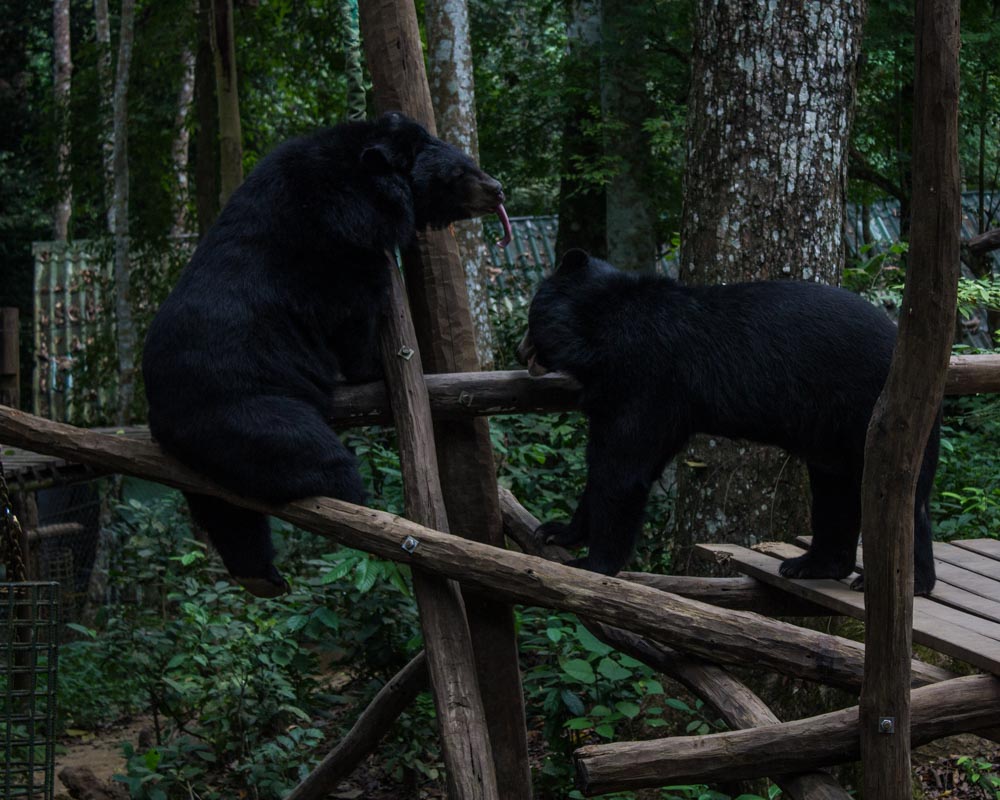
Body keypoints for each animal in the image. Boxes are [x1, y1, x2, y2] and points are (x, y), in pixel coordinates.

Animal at [143, 114, 508, 600]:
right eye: (460, 172)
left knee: (223, 512)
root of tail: (163, 418)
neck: (363, 174)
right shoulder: (339, 233)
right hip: (248, 414)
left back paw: (258, 576)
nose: (498, 189)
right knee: (319, 463)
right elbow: (358, 308)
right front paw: (377, 366)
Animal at [520, 248, 940, 592]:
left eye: (530, 314)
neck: (599, 331)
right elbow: (605, 461)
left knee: (900, 497)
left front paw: (593, 563)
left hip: (869, 412)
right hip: (834, 434)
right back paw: (812, 565)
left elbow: (622, 470)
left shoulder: (646, 379)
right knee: (836, 489)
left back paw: (906, 581)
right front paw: (557, 531)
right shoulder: (627, 395)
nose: (521, 349)